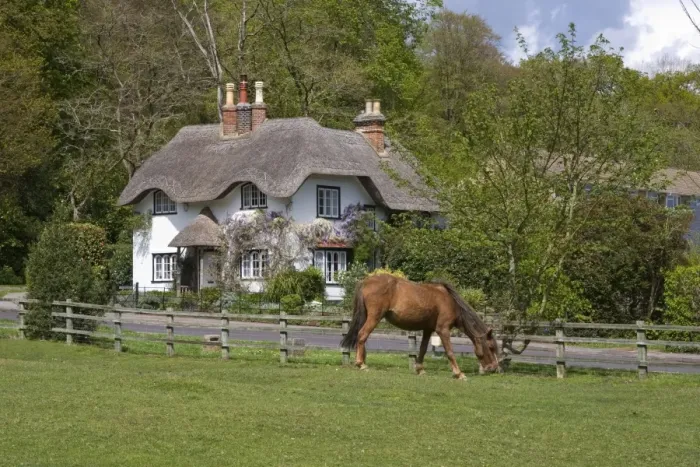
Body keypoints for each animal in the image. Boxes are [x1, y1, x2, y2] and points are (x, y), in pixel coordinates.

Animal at [340, 274, 502, 379]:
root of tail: (365, 281)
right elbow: (449, 351)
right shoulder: (443, 330)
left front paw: (419, 369)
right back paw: (361, 364)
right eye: (491, 347)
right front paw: (459, 373)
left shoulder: (427, 330)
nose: (494, 368)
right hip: (374, 317)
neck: (449, 301)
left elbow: (423, 349)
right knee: (362, 335)